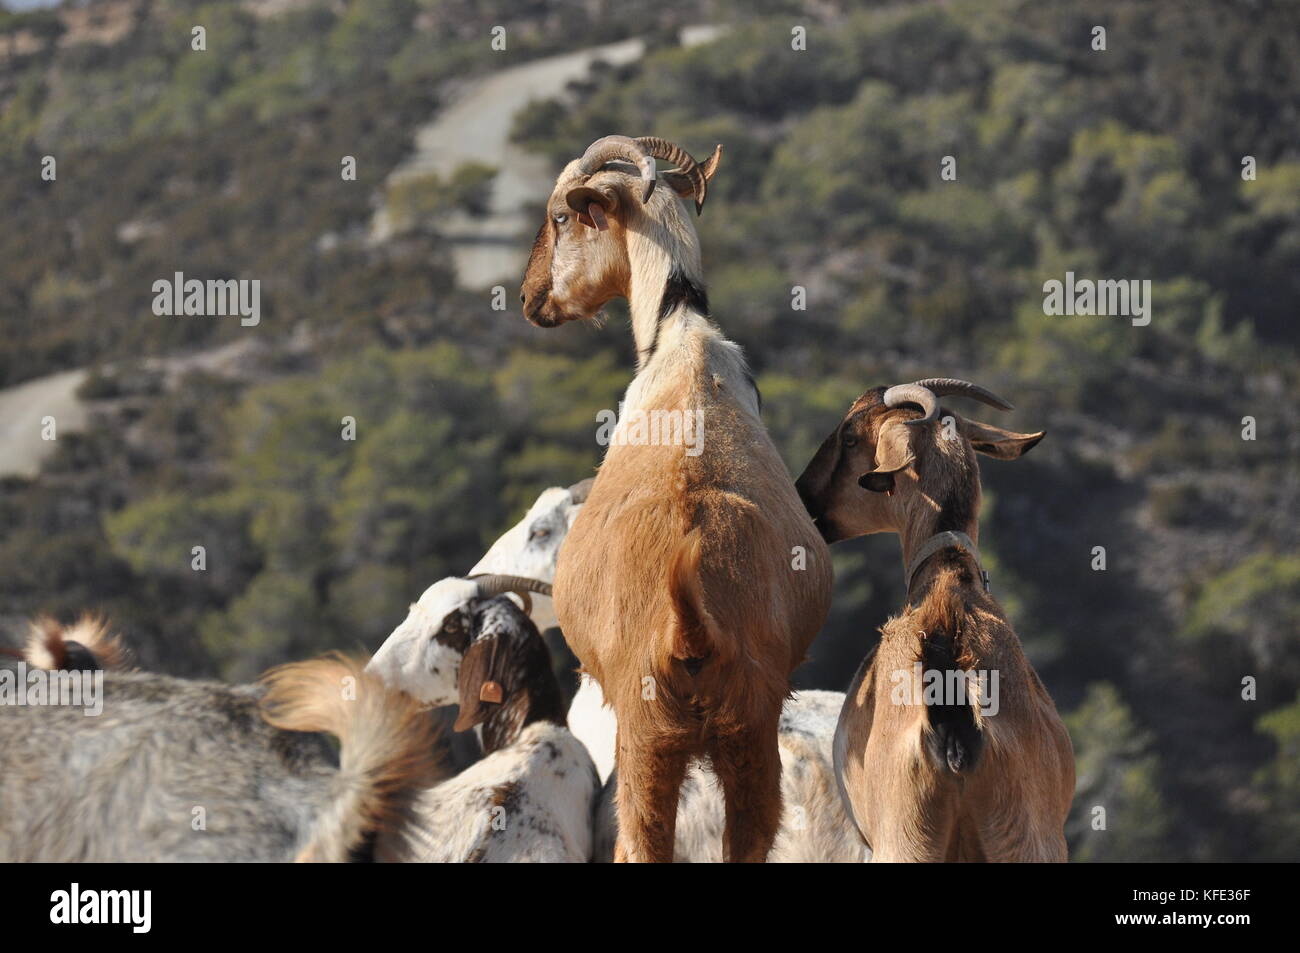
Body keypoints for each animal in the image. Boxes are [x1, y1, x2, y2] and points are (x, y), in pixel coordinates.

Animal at [520, 134, 833, 862]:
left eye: (560, 217)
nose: (529, 298)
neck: (680, 330)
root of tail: (688, 621)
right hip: (750, 728)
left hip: (645, 733)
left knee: (642, 838)